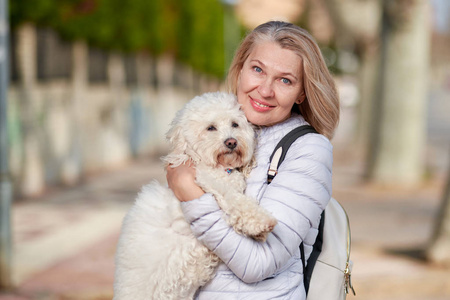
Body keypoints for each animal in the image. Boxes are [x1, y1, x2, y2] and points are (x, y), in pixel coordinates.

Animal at [114, 92, 276, 298]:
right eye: (211, 128)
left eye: (235, 124)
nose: (231, 142)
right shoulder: (211, 184)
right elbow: (237, 202)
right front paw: (261, 223)